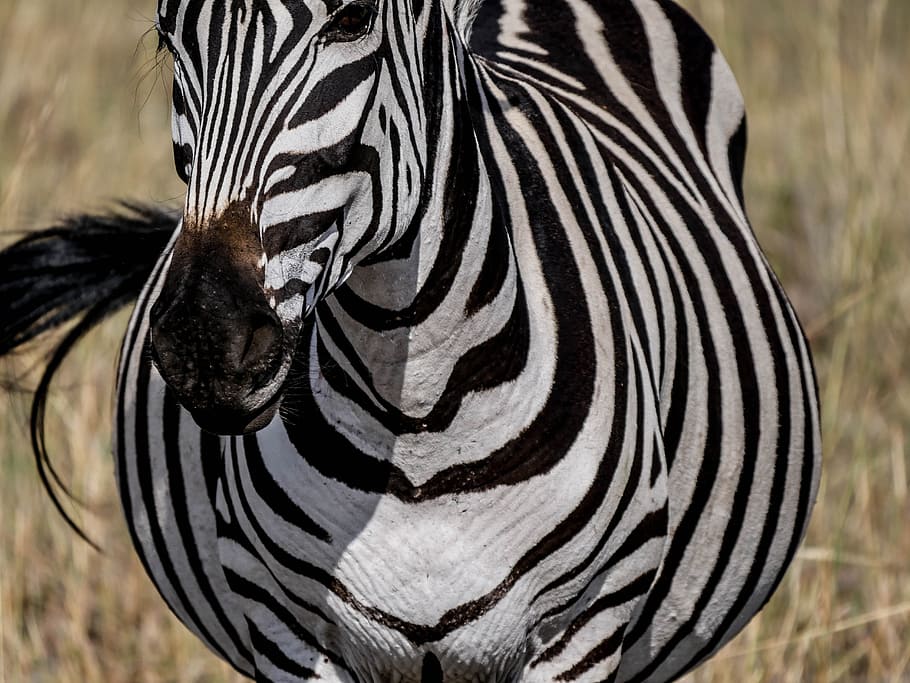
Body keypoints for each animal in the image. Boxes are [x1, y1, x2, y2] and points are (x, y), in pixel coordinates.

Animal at [0, 0, 821, 680]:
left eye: (353, 18)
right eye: (171, 32)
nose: (207, 342)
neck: (423, 416)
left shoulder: (585, 625)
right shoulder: (286, 628)